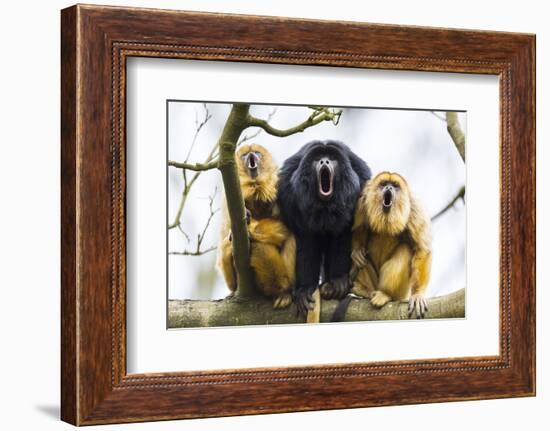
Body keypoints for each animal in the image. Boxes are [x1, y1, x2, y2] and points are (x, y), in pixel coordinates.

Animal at [217, 143, 298, 308]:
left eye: (256, 153)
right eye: (244, 155)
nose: (251, 156)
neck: (255, 187)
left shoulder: (280, 185)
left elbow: (288, 226)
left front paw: (250, 230)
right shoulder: (228, 199)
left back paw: (284, 291)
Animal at [352, 171, 434, 318]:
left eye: (395, 186)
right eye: (384, 184)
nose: (389, 188)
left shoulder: (415, 208)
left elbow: (422, 250)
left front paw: (418, 295)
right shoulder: (362, 200)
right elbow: (358, 228)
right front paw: (357, 251)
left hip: (402, 293)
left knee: (405, 249)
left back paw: (386, 294)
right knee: (360, 260)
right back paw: (364, 290)